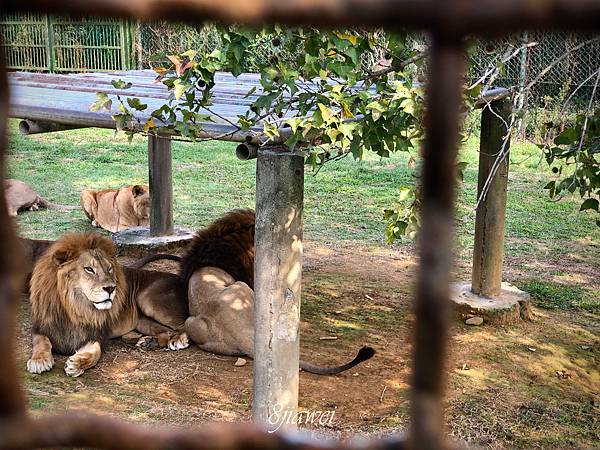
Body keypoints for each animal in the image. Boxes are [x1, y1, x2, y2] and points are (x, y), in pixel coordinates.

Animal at [27, 234, 188, 378]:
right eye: (89, 269)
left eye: (109, 268)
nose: (111, 288)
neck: (75, 306)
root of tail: (180, 278)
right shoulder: (41, 326)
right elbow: (41, 342)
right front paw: (39, 360)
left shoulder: (97, 333)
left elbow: (95, 352)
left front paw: (77, 364)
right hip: (142, 321)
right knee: (166, 331)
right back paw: (148, 343)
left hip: (146, 299)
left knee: (184, 322)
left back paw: (179, 340)